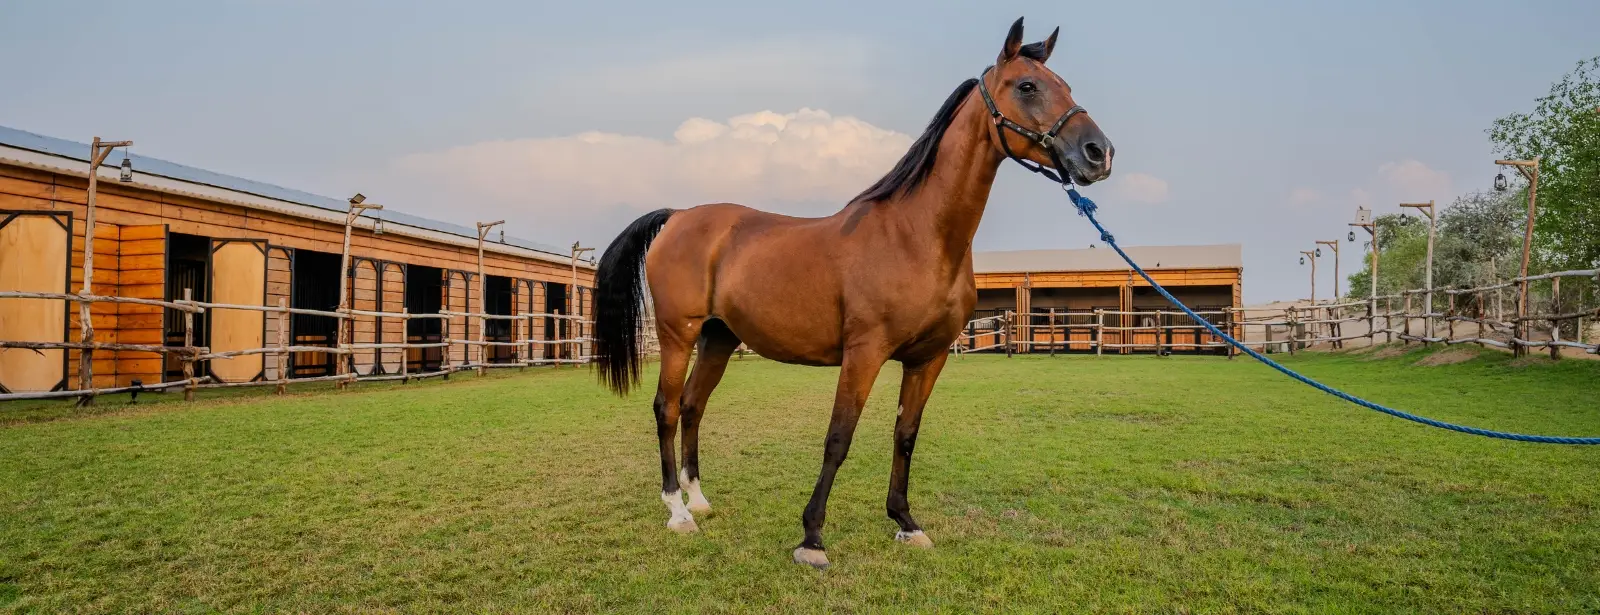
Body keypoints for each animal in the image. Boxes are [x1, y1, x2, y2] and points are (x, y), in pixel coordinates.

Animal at [588, 15, 1113, 570]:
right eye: (1027, 86)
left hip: (718, 338)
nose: (1099, 153)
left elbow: (905, 436)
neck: (916, 235)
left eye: (1066, 85)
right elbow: (838, 438)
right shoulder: (864, 353)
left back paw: (699, 500)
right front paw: (812, 538)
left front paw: (906, 522)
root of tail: (679, 217)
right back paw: (677, 512)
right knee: (666, 409)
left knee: (692, 406)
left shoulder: (927, 359)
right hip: (677, 335)